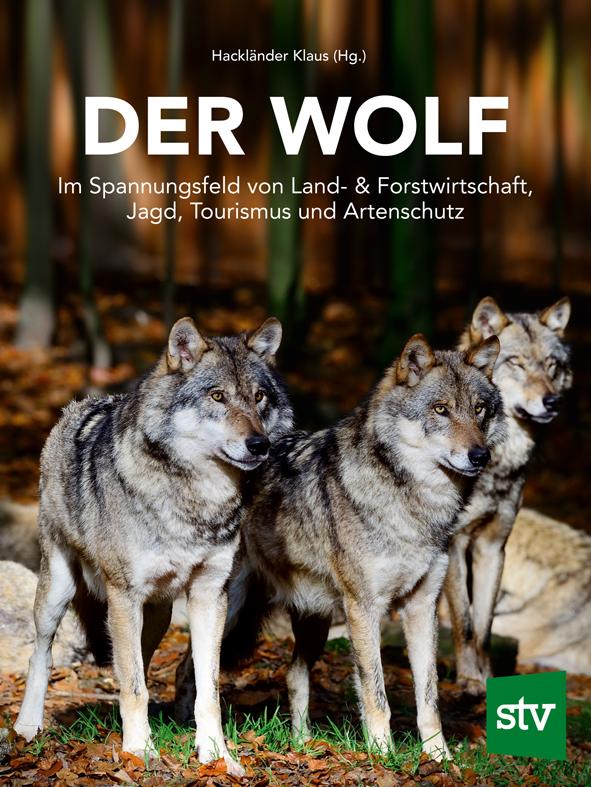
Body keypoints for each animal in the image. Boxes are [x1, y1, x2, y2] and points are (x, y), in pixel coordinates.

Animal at [14, 316, 293, 775]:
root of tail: (79, 406)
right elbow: (135, 687)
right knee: (43, 656)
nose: (259, 445)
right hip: (59, 592)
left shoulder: (210, 595)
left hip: (157, 614)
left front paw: (216, 756)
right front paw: (141, 752)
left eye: (259, 397)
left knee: (137, 663)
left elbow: (206, 691)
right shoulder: (124, 594)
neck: (197, 502)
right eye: (217, 396)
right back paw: (26, 727)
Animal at [176, 333, 505, 760]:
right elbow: (376, 694)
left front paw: (440, 759)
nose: (480, 455)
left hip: (312, 621)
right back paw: (189, 734)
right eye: (441, 409)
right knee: (188, 668)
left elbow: (429, 697)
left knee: (293, 675)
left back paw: (302, 743)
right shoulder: (365, 608)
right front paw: (383, 756)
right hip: (230, 609)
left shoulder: (422, 607)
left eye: (479, 409)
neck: (415, 506)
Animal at [444, 297, 572, 695]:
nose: (553, 401)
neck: (497, 464)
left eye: (552, 365)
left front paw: (487, 679)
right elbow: (466, 623)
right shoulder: (455, 545)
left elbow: (484, 628)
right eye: (517, 362)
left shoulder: (493, 545)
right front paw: (469, 681)